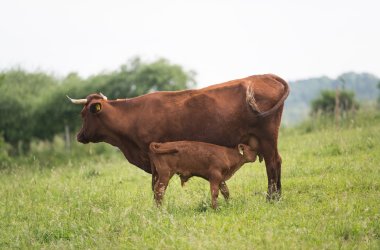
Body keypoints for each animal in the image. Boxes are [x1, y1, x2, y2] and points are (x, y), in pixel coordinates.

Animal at [67, 73, 288, 200]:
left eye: (83, 114)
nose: (78, 136)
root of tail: (265, 76)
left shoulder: (153, 156)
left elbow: (156, 186)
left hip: (268, 138)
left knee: (273, 163)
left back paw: (273, 198)